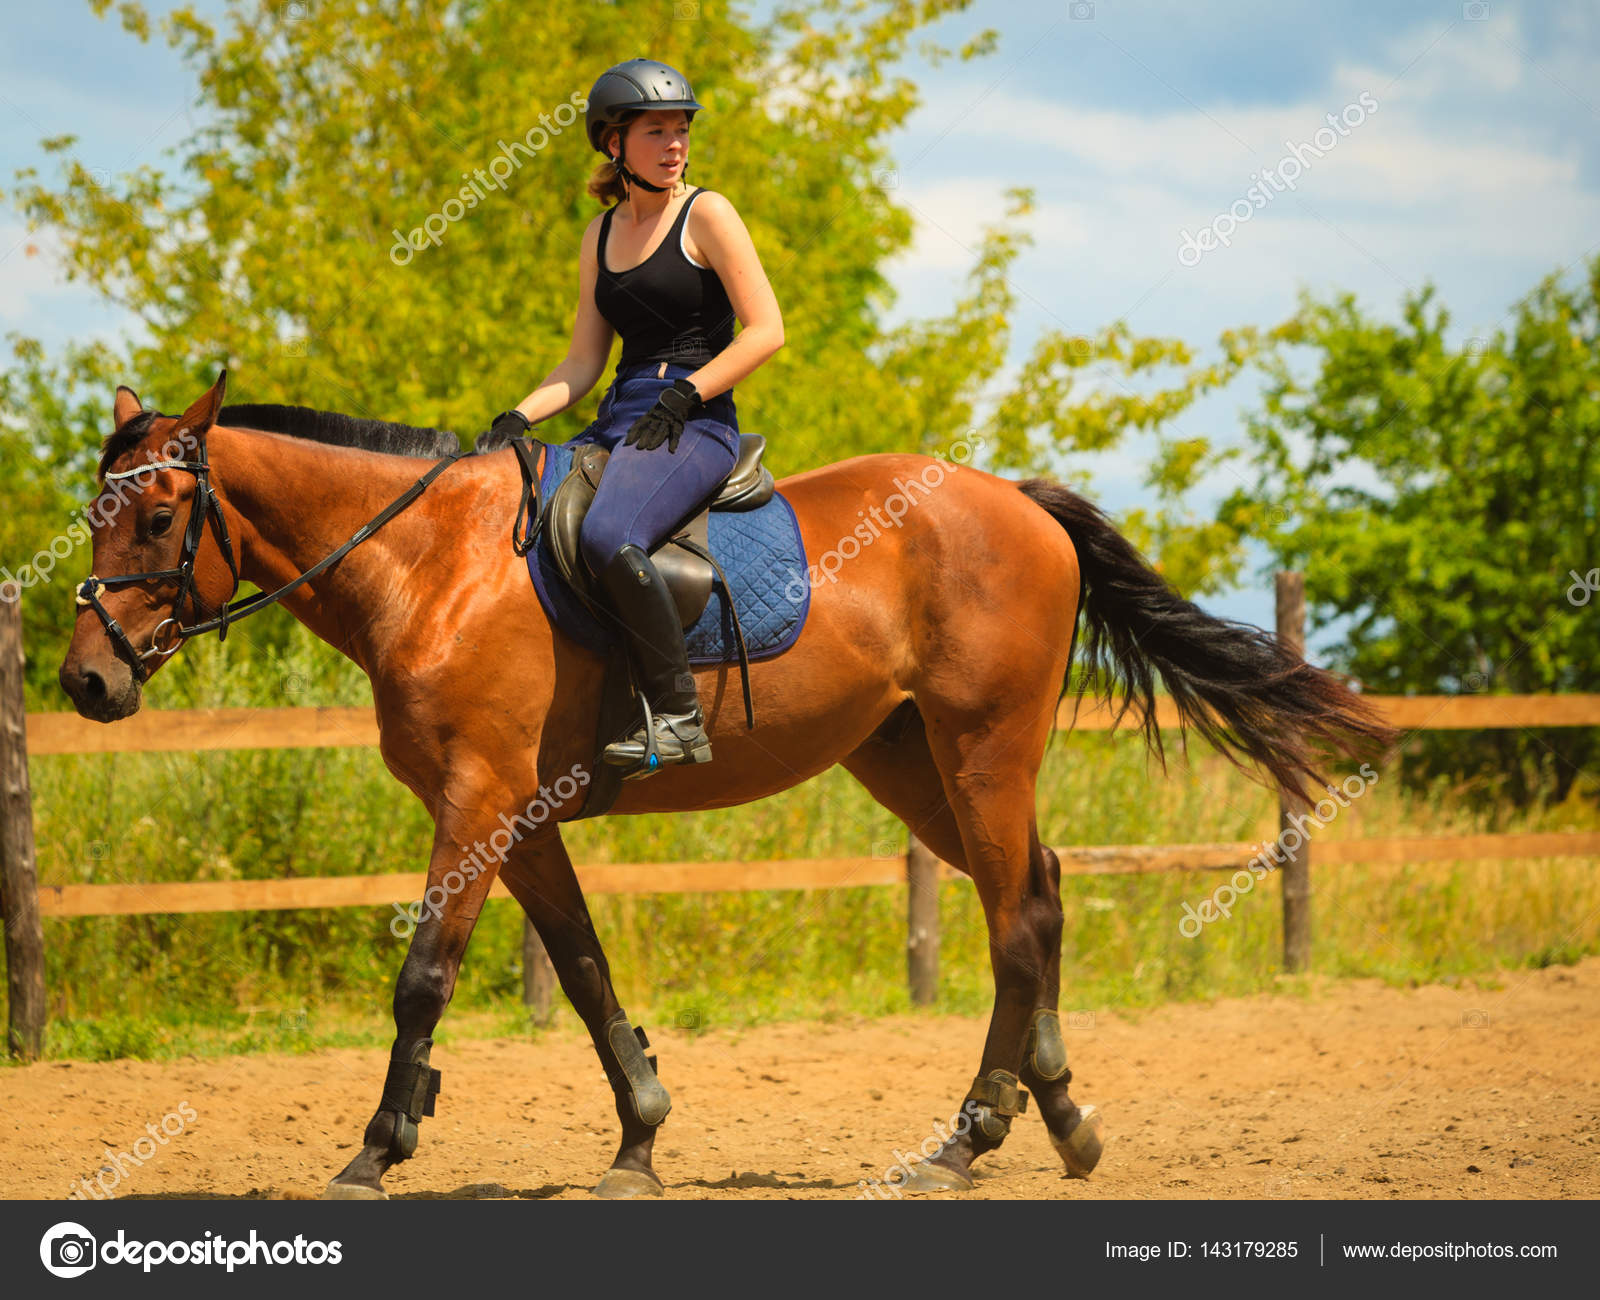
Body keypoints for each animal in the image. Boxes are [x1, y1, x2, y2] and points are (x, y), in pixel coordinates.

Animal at [59, 373, 1388, 1197]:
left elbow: (423, 978)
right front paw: (638, 1141)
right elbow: (585, 971)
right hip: (908, 759)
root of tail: (1016, 500)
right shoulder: (519, 819)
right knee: (1041, 890)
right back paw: (1050, 1115)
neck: (427, 565)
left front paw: (376, 1151)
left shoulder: (476, 804)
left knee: (1016, 919)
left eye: (162, 514)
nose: (85, 680)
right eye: (93, 512)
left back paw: (969, 1139)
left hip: (983, 746)